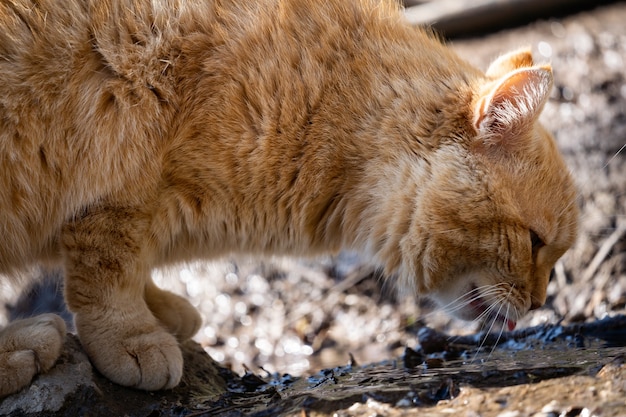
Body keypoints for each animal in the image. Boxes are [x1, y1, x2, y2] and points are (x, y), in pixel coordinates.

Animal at [0, 0, 576, 394]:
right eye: (534, 241)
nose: (539, 302)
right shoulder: (119, 181)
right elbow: (108, 272)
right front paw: (132, 335)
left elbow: (126, 268)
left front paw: (159, 307)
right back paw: (23, 344)